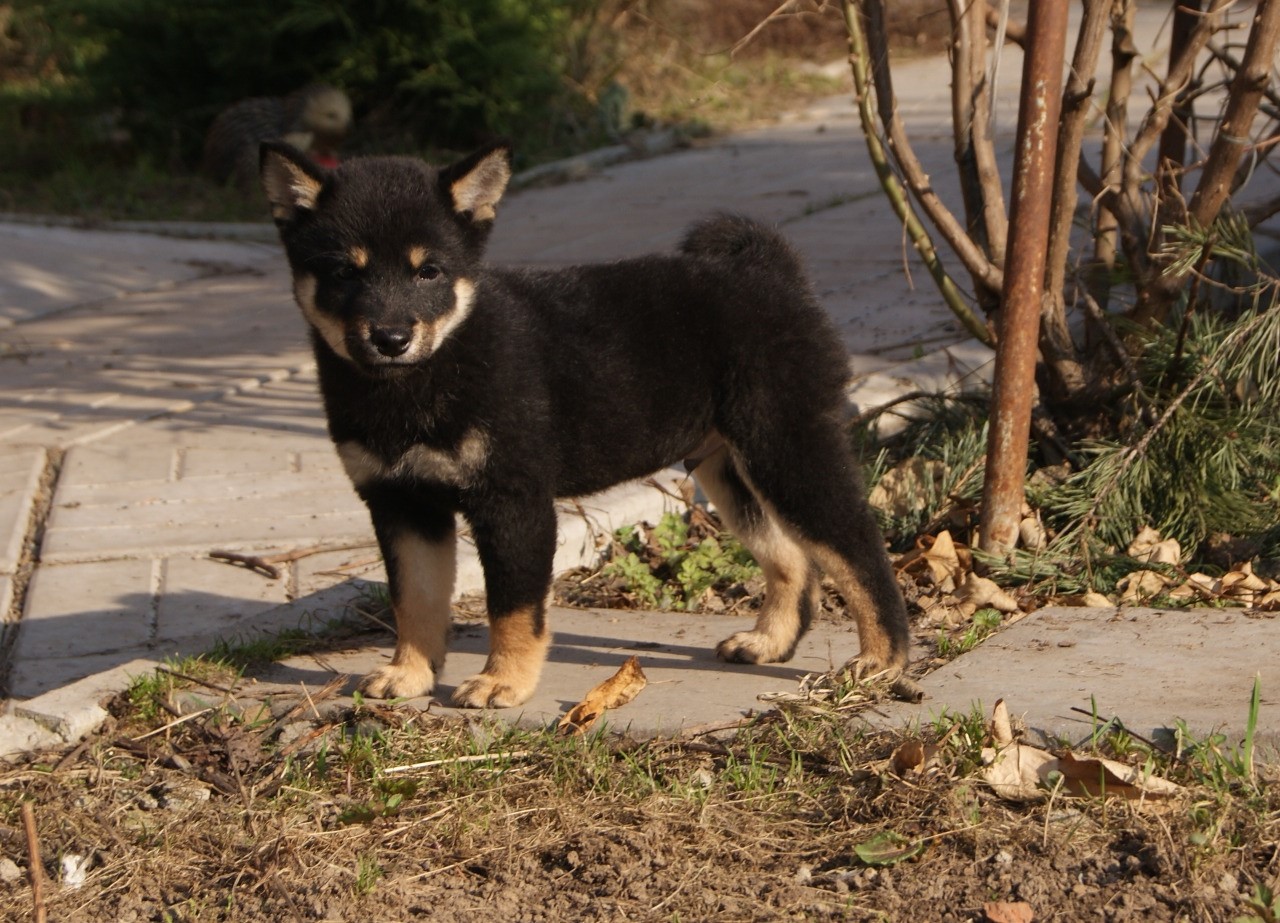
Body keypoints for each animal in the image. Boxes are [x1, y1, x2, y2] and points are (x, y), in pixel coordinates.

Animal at [259, 141, 910, 708]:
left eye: (429, 273)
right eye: (346, 273)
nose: (391, 338)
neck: (424, 377)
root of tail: (772, 273)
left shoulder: (512, 502)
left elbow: (512, 609)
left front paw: (503, 682)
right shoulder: (401, 504)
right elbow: (413, 601)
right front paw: (411, 674)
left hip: (785, 448)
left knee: (858, 546)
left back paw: (884, 659)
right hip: (729, 468)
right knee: (793, 558)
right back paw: (769, 642)